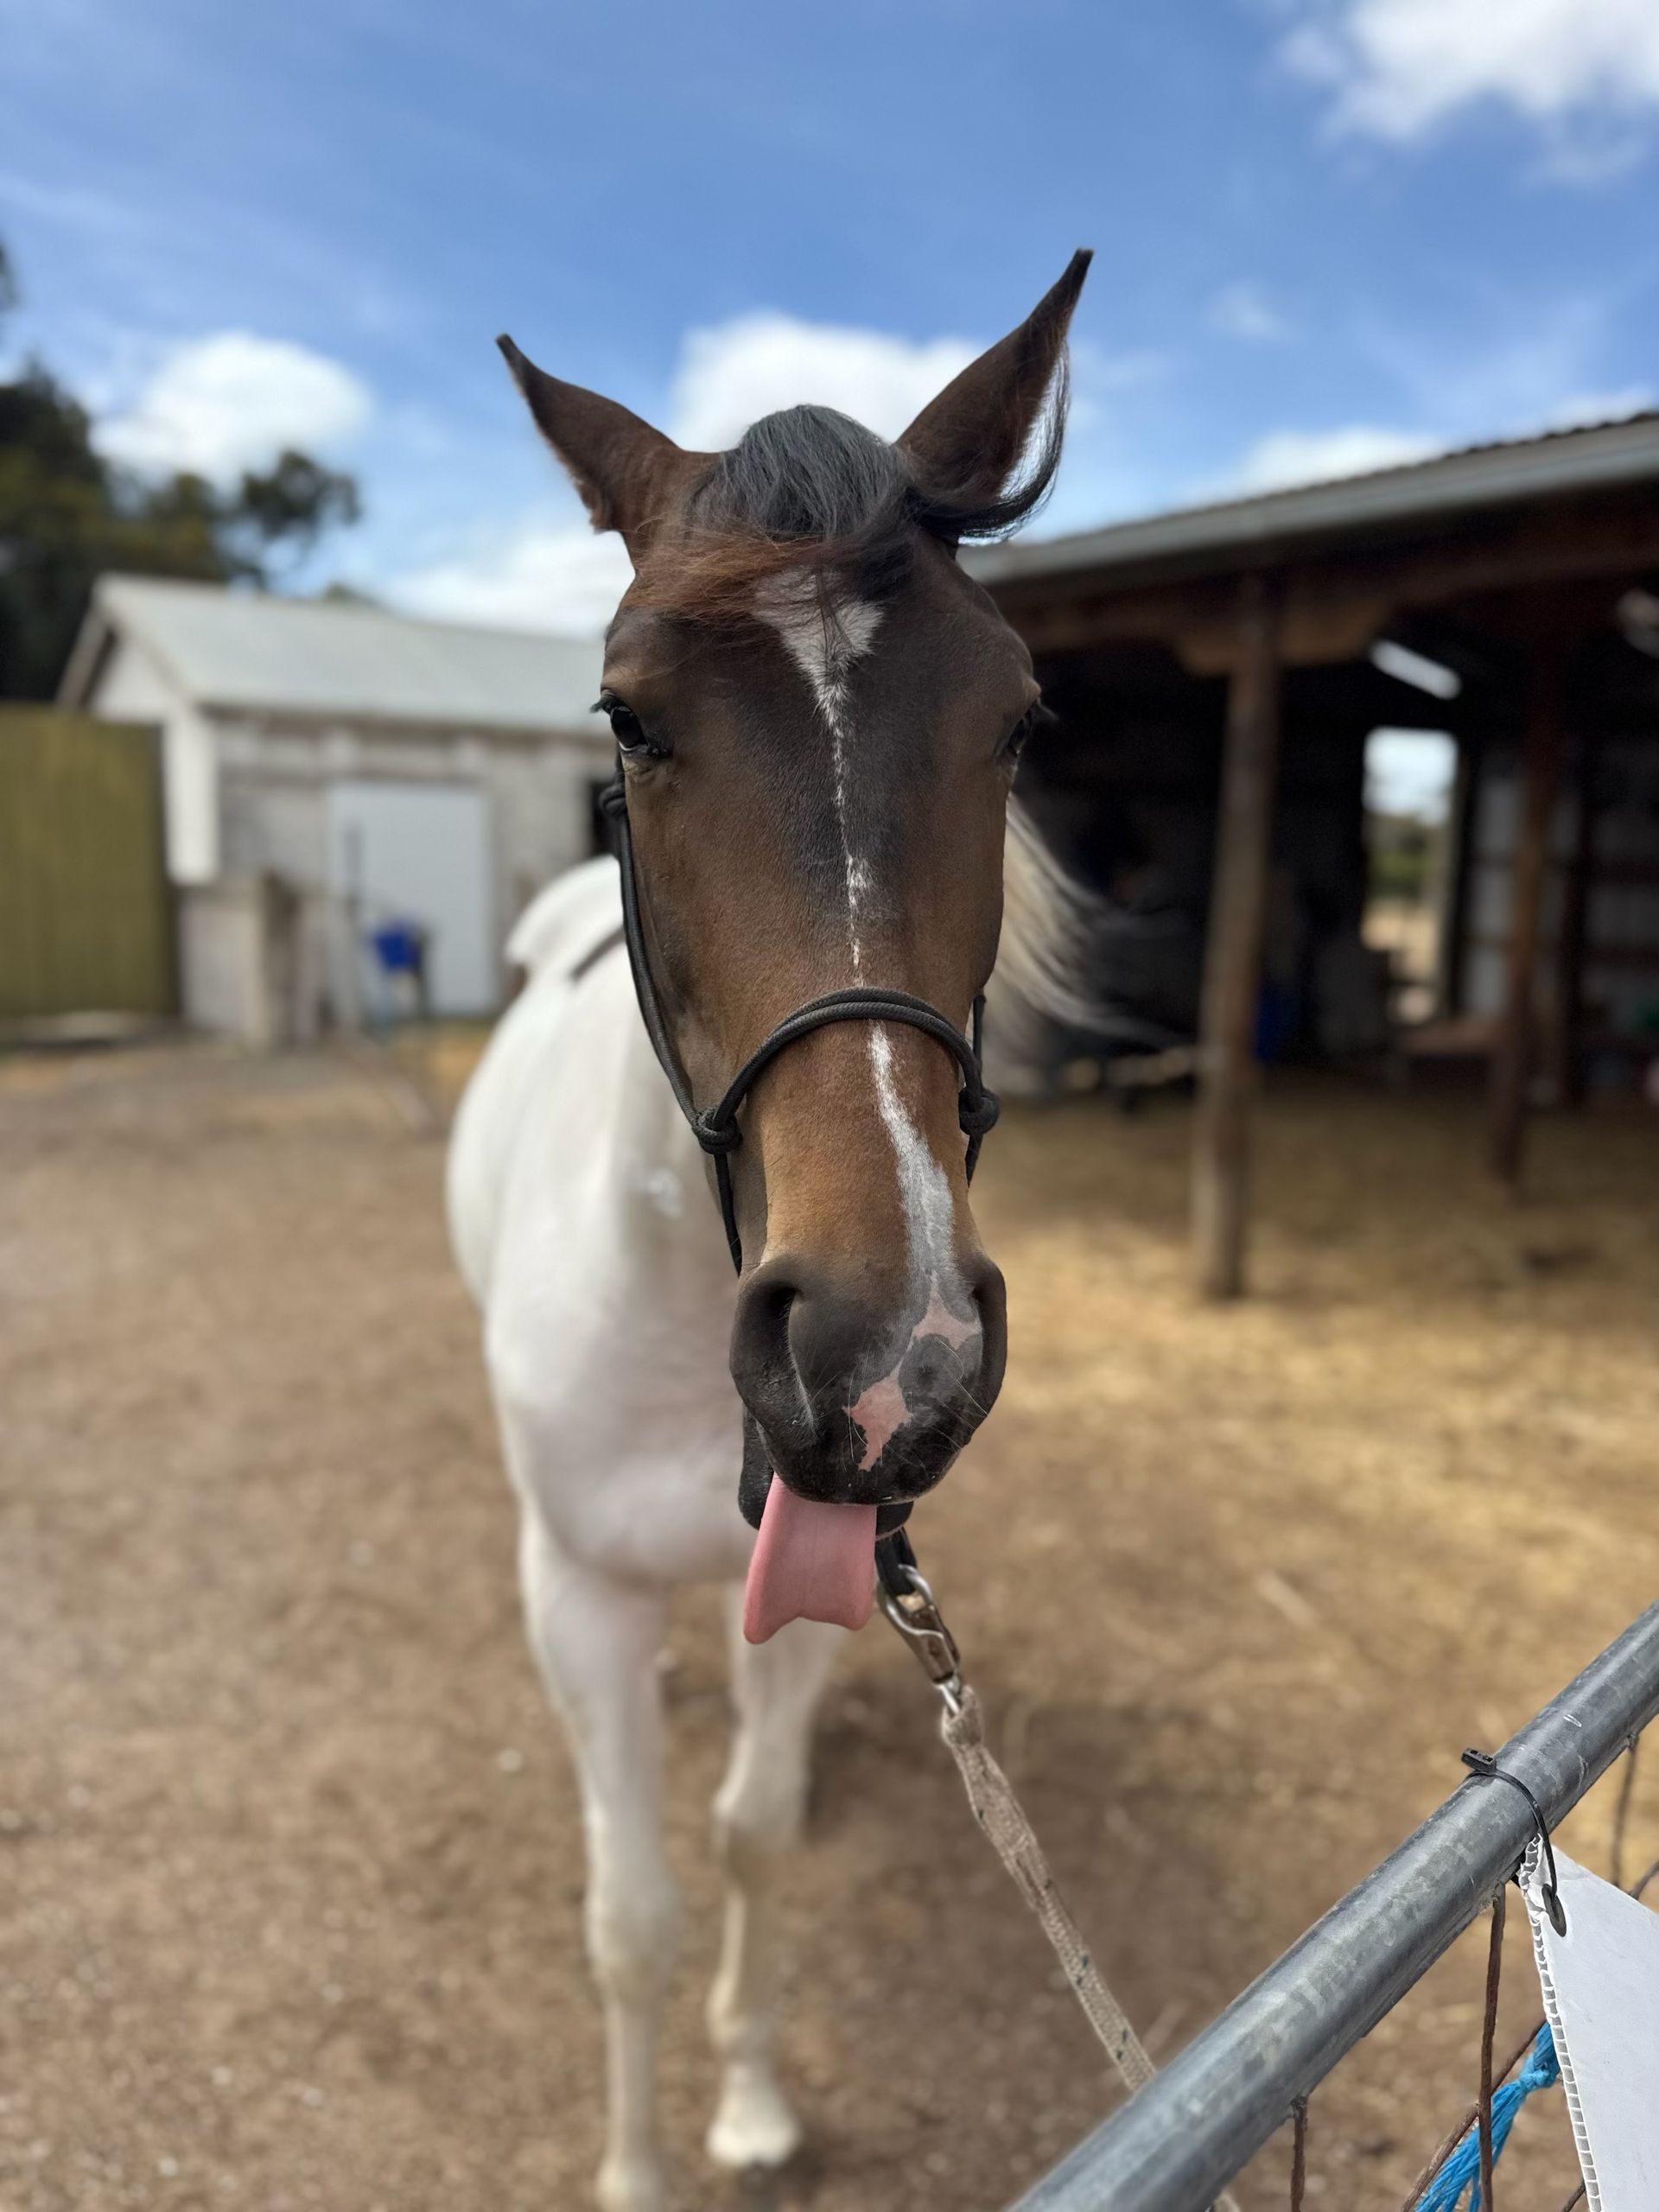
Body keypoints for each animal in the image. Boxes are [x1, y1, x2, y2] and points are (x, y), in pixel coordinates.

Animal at [447, 251, 1094, 2212]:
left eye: (1018, 717)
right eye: (627, 715)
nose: (883, 1357)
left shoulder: (818, 1585)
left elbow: (742, 1842)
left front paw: (744, 2107)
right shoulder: (579, 1597)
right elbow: (631, 1914)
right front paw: (642, 2167)